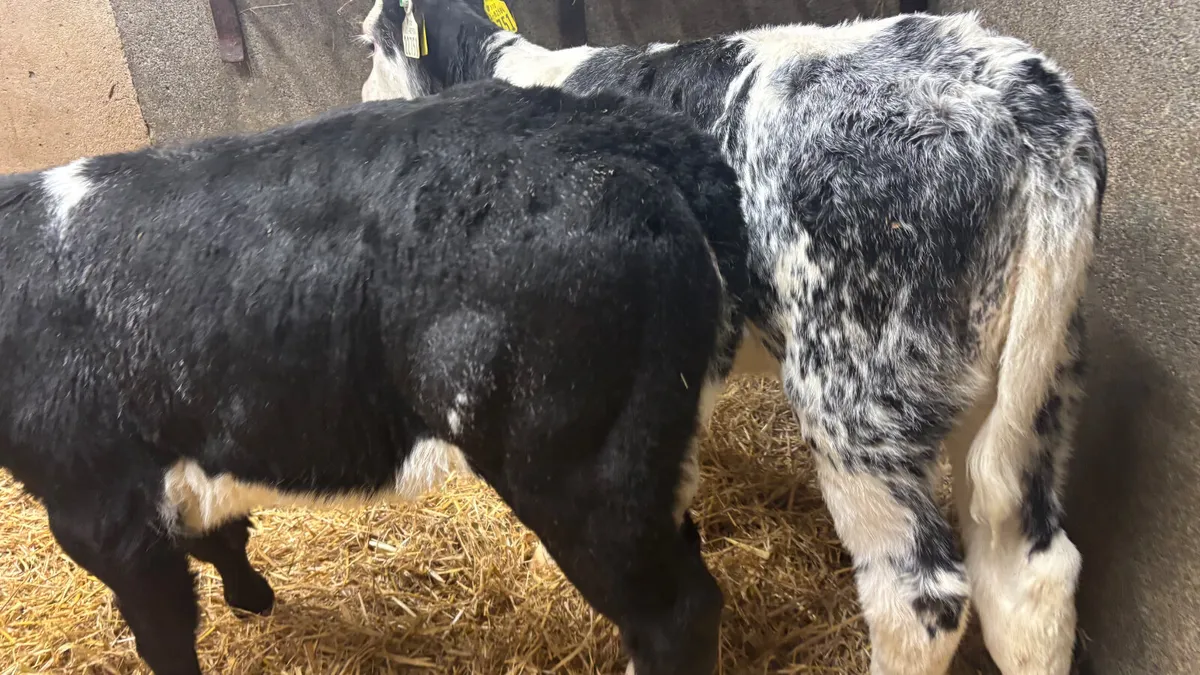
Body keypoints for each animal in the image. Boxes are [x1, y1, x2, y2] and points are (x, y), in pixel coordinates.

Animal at [0, 79, 752, 675]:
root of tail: (614, 130)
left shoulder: (98, 506)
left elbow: (164, 631)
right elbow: (221, 534)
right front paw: (254, 599)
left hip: (577, 462)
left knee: (674, 612)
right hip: (646, 448)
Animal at [357, 3, 1108, 674]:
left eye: (368, 44)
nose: (362, 100)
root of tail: (1016, 93)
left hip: (856, 390)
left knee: (919, 596)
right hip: (1035, 385)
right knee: (1030, 570)